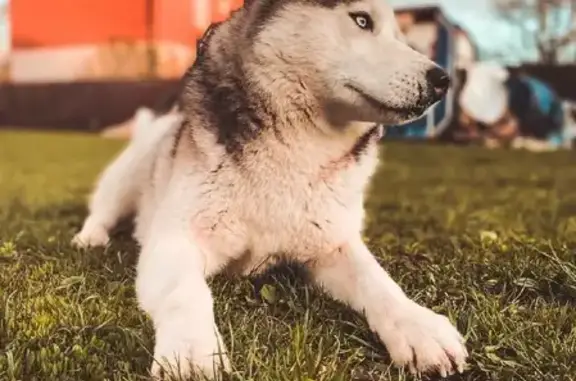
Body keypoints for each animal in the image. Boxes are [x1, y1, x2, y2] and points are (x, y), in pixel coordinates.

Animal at [72, 0, 468, 378]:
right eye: (361, 20)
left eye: (401, 36)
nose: (442, 80)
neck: (293, 155)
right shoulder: (176, 240)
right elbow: (185, 292)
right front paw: (192, 350)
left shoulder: (332, 243)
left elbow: (378, 282)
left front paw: (418, 325)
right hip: (128, 175)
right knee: (103, 211)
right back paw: (90, 238)